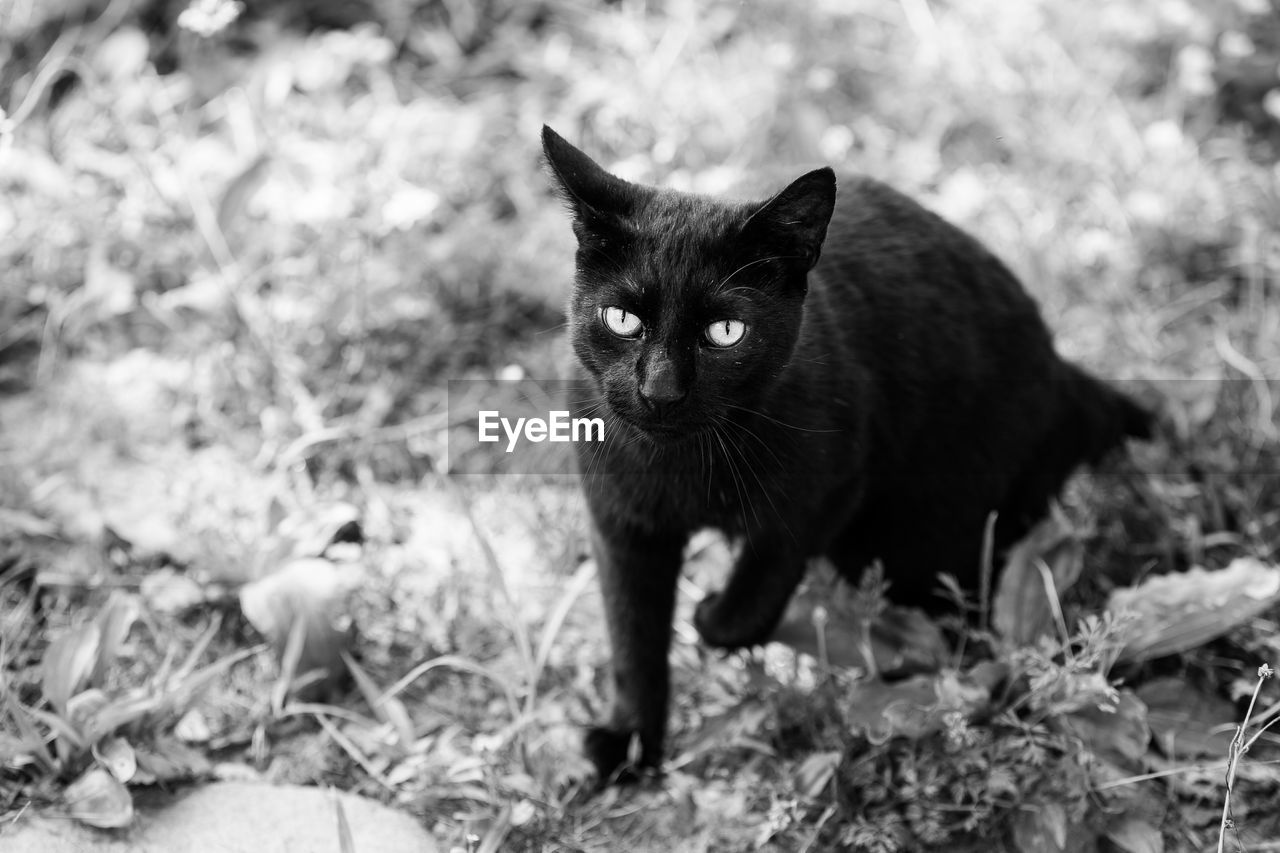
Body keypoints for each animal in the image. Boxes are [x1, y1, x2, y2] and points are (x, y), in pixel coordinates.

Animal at [540, 122, 1152, 778]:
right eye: (622, 319)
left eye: (725, 332)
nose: (660, 390)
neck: (684, 468)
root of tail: (1062, 371)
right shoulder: (622, 525)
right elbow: (632, 635)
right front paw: (629, 740)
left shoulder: (833, 483)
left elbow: (765, 573)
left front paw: (713, 618)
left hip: (919, 534)